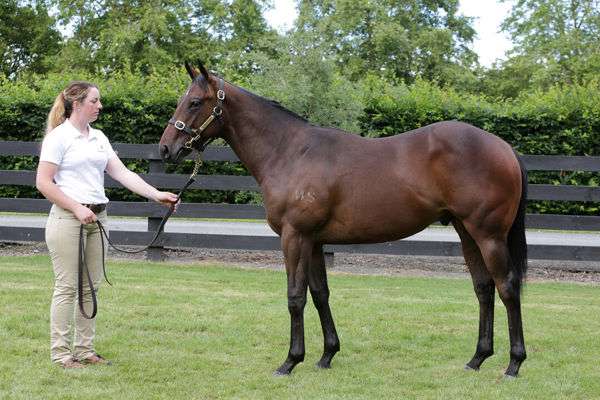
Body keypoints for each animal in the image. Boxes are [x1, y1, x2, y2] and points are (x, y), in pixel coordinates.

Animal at [158, 62, 528, 378]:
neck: (289, 152)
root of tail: (504, 147)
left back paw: (513, 364)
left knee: (507, 287)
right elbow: (320, 293)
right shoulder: (314, 241)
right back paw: (477, 358)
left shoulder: (294, 236)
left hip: (488, 235)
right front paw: (326, 355)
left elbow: (295, 296)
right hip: (467, 233)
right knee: (484, 288)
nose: (165, 149)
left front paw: (290, 361)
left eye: (194, 102)